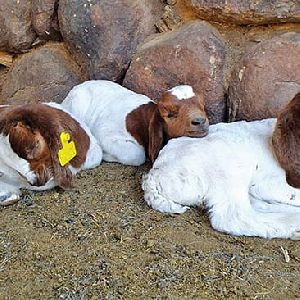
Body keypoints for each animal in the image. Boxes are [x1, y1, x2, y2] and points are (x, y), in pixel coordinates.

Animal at [61, 79, 209, 166]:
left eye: (202, 105)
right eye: (169, 114)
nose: (200, 121)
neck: (143, 122)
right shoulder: (106, 134)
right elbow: (136, 155)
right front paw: (107, 156)